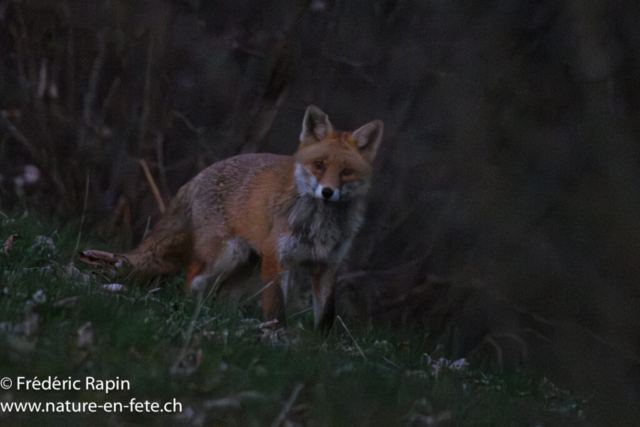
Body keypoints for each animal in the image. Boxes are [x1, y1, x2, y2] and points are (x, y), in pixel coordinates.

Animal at [81, 105, 383, 329]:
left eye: (346, 172)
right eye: (319, 165)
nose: (328, 192)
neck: (319, 226)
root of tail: (197, 177)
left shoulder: (328, 266)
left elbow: (326, 317)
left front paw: (317, 346)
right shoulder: (278, 258)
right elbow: (276, 308)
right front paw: (277, 336)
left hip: (249, 268)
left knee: (223, 296)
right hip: (228, 254)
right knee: (192, 278)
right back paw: (191, 308)